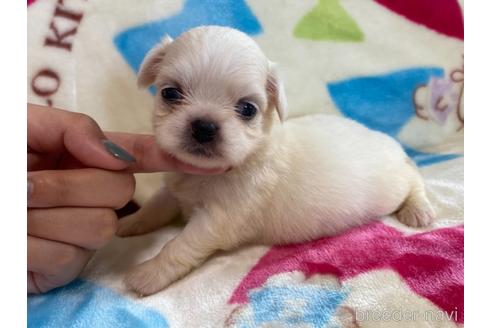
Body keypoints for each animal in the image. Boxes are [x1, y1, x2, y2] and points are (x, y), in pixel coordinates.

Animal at [116, 25, 434, 294]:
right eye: (170, 93)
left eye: (247, 109)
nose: (204, 127)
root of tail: (388, 142)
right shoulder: (173, 189)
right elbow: (154, 208)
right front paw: (129, 223)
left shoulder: (217, 219)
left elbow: (179, 245)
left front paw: (148, 273)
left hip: (393, 185)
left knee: (414, 179)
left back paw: (418, 209)